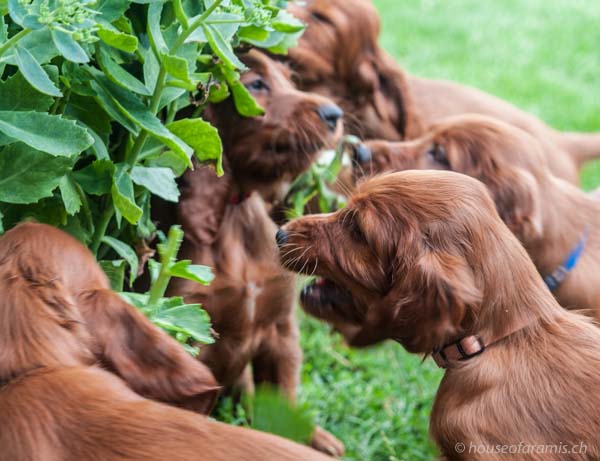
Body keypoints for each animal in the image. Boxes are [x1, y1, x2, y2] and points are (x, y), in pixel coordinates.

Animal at [169, 49, 346, 452]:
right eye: (256, 84)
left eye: (290, 80)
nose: (335, 114)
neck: (233, 212)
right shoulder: (188, 331)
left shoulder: (280, 330)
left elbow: (282, 399)